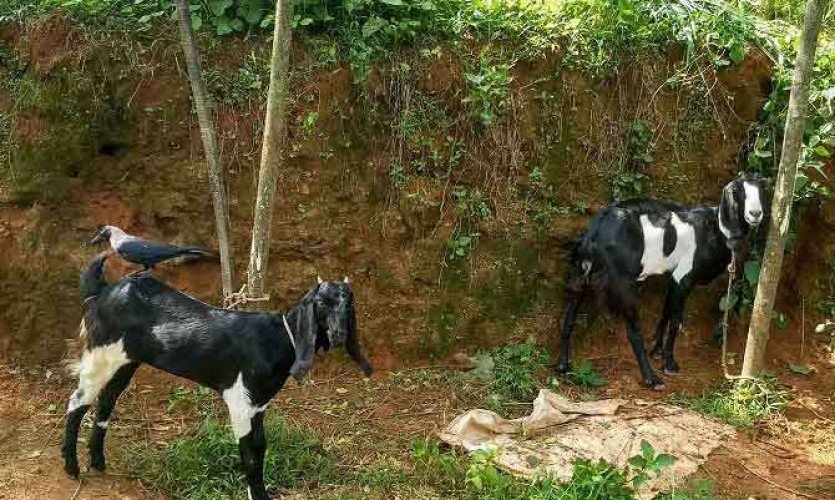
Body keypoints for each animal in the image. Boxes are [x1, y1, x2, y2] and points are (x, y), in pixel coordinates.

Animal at [65, 254, 376, 500]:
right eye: (321, 304)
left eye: (349, 304)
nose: (339, 335)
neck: (279, 338)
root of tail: (102, 293)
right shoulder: (239, 400)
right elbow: (249, 454)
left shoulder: (258, 403)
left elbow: (260, 446)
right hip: (100, 354)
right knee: (77, 401)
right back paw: (72, 467)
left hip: (126, 361)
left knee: (106, 401)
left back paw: (97, 462)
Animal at [560, 174, 768, 388]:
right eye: (739, 191)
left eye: (762, 190)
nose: (755, 213)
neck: (716, 228)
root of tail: (594, 234)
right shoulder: (684, 276)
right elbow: (676, 321)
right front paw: (669, 364)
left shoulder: (673, 278)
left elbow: (666, 313)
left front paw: (658, 351)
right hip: (623, 283)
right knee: (633, 332)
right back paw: (652, 379)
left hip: (580, 276)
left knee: (569, 318)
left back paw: (563, 365)